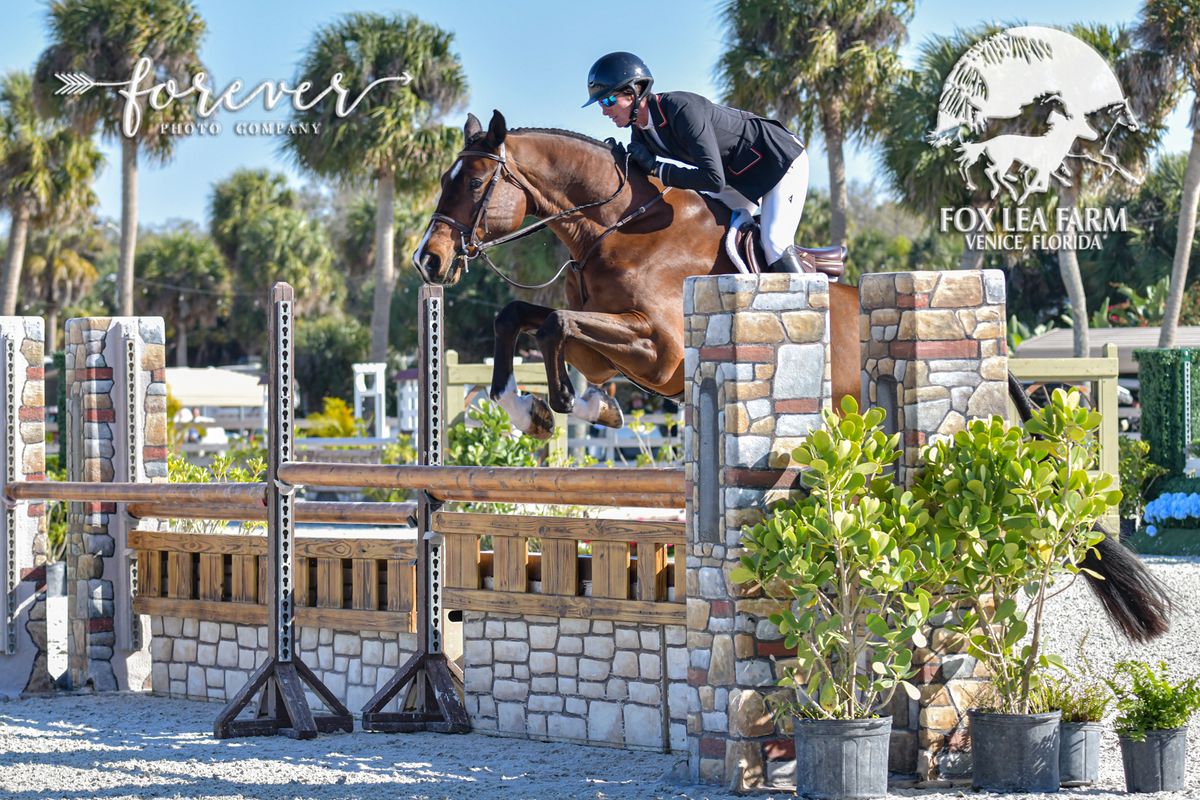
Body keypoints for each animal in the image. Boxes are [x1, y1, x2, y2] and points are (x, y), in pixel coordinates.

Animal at [415, 107, 1171, 642]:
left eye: (475, 182)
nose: (430, 261)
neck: (617, 226)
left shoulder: (660, 348)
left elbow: (550, 327)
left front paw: (571, 407)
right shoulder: (611, 344)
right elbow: (520, 320)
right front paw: (541, 407)